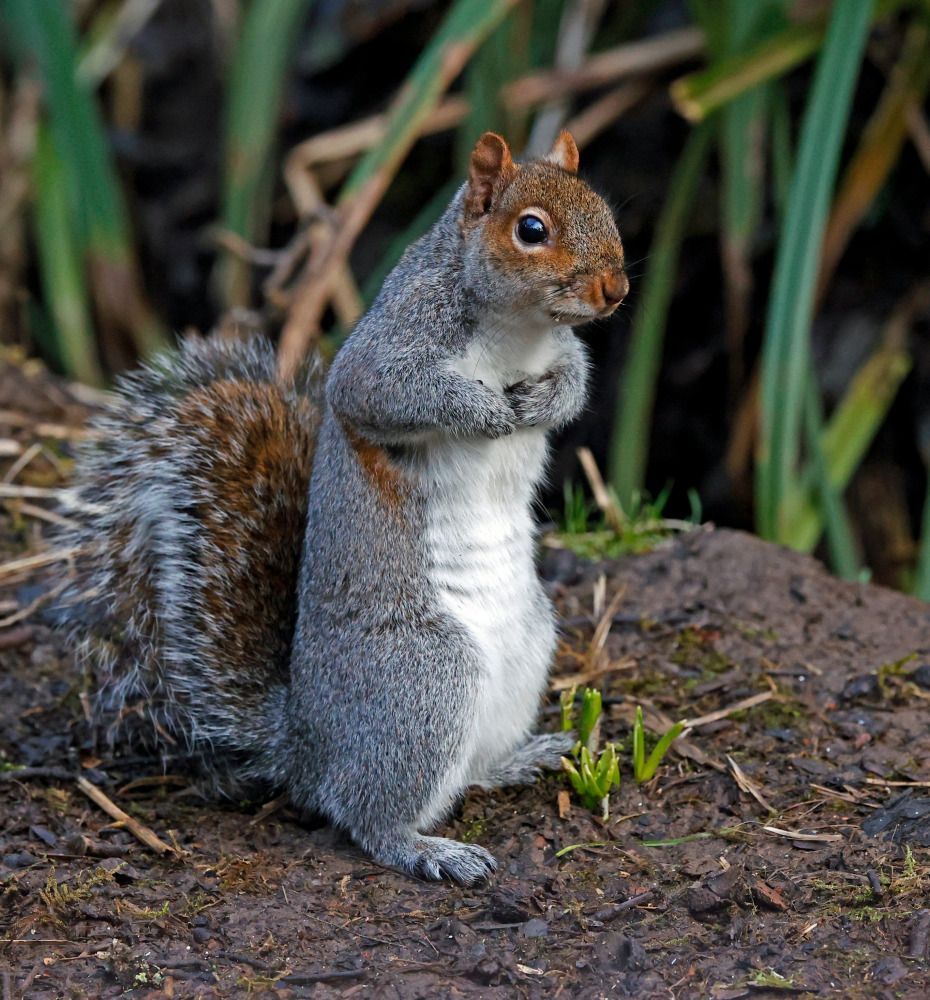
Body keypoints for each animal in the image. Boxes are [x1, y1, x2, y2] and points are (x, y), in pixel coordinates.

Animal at [57, 130, 628, 885]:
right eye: (531, 230)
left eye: (605, 208)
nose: (616, 289)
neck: (520, 330)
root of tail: (306, 742)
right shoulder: (389, 349)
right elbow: (384, 392)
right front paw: (483, 409)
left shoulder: (561, 349)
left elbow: (575, 382)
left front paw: (542, 401)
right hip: (424, 680)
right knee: (368, 816)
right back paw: (428, 850)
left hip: (528, 644)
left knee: (462, 775)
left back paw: (516, 760)